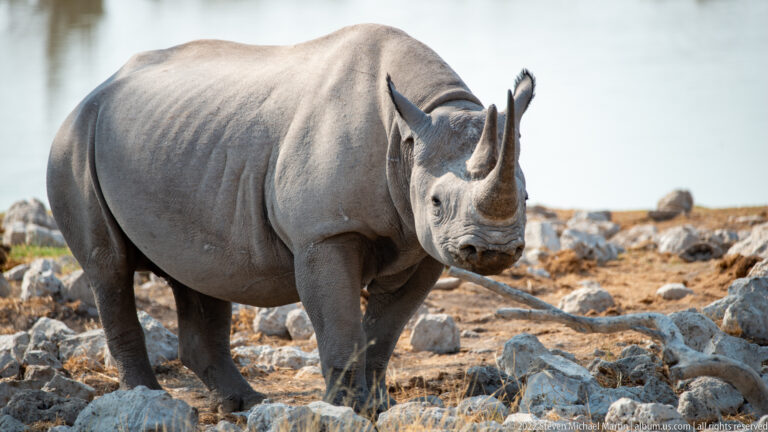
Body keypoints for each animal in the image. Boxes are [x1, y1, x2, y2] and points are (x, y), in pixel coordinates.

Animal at [47, 24, 535, 413]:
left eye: (527, 196)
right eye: (434, 202)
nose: (492, 249)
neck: (415, 128)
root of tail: (92, 93)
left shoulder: (423, 246)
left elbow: (383, 332)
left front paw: (377, 407)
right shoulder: (324, 234)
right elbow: (342, 330)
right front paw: (346, 409)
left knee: (199, 273)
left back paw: (245, 403)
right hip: (75, 141)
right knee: (109, 269)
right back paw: (147, 398)